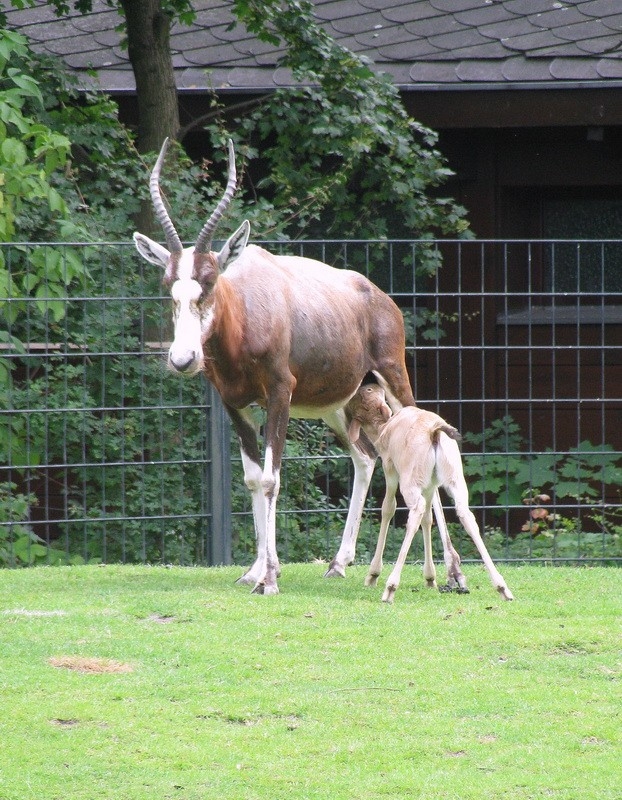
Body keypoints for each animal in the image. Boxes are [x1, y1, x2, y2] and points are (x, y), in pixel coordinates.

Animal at [133, 141, 454, 596]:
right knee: (365, 458)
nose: (183, 359)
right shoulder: (236, 405)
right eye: (168, 286)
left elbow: (272, 479)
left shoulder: (279, 395)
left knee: (424, 442)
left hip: (393, 382)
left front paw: (269, 580)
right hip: (340, 406)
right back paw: (339, 563)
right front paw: (256, 570)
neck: (247, 306)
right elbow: (253, 479)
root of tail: (380, 298)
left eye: (210, 281)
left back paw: (452, 574)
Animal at [348, 384, 516, 604]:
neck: (384, 428)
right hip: (455, 477)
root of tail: (434, 432)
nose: (374, 385)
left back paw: (390, 588)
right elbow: (428, 519)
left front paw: (372, 575)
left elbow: (388, 508)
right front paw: (430, 578)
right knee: (464, 513)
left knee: (415, 510)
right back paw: (502, 587)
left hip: (410, 481)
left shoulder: (389, 467)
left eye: (366, 391)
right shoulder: (430, 484)